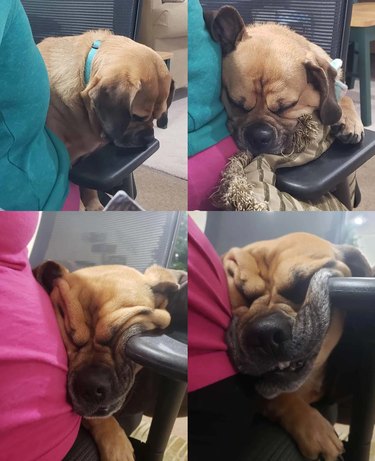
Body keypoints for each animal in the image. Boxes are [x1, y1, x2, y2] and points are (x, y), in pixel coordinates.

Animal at [38, 28, 175, 208]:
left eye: (157, 116)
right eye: (136, 116)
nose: (148, 138)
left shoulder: (86, 158)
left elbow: (89, 188)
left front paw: (94, 205)